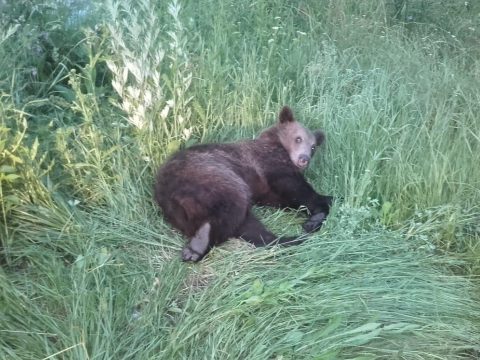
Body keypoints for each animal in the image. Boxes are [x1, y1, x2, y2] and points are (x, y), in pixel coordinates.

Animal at [156, 105, 332, 260]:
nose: (304, 159)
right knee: (232, 207)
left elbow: (284, 198)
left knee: (244, 223)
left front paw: (313, 219)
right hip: (214, 175)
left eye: (313, 147)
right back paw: (197, 246)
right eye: (298, 138)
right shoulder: (270, 163)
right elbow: (296, 188)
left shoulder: (265, 189)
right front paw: (321, 206)